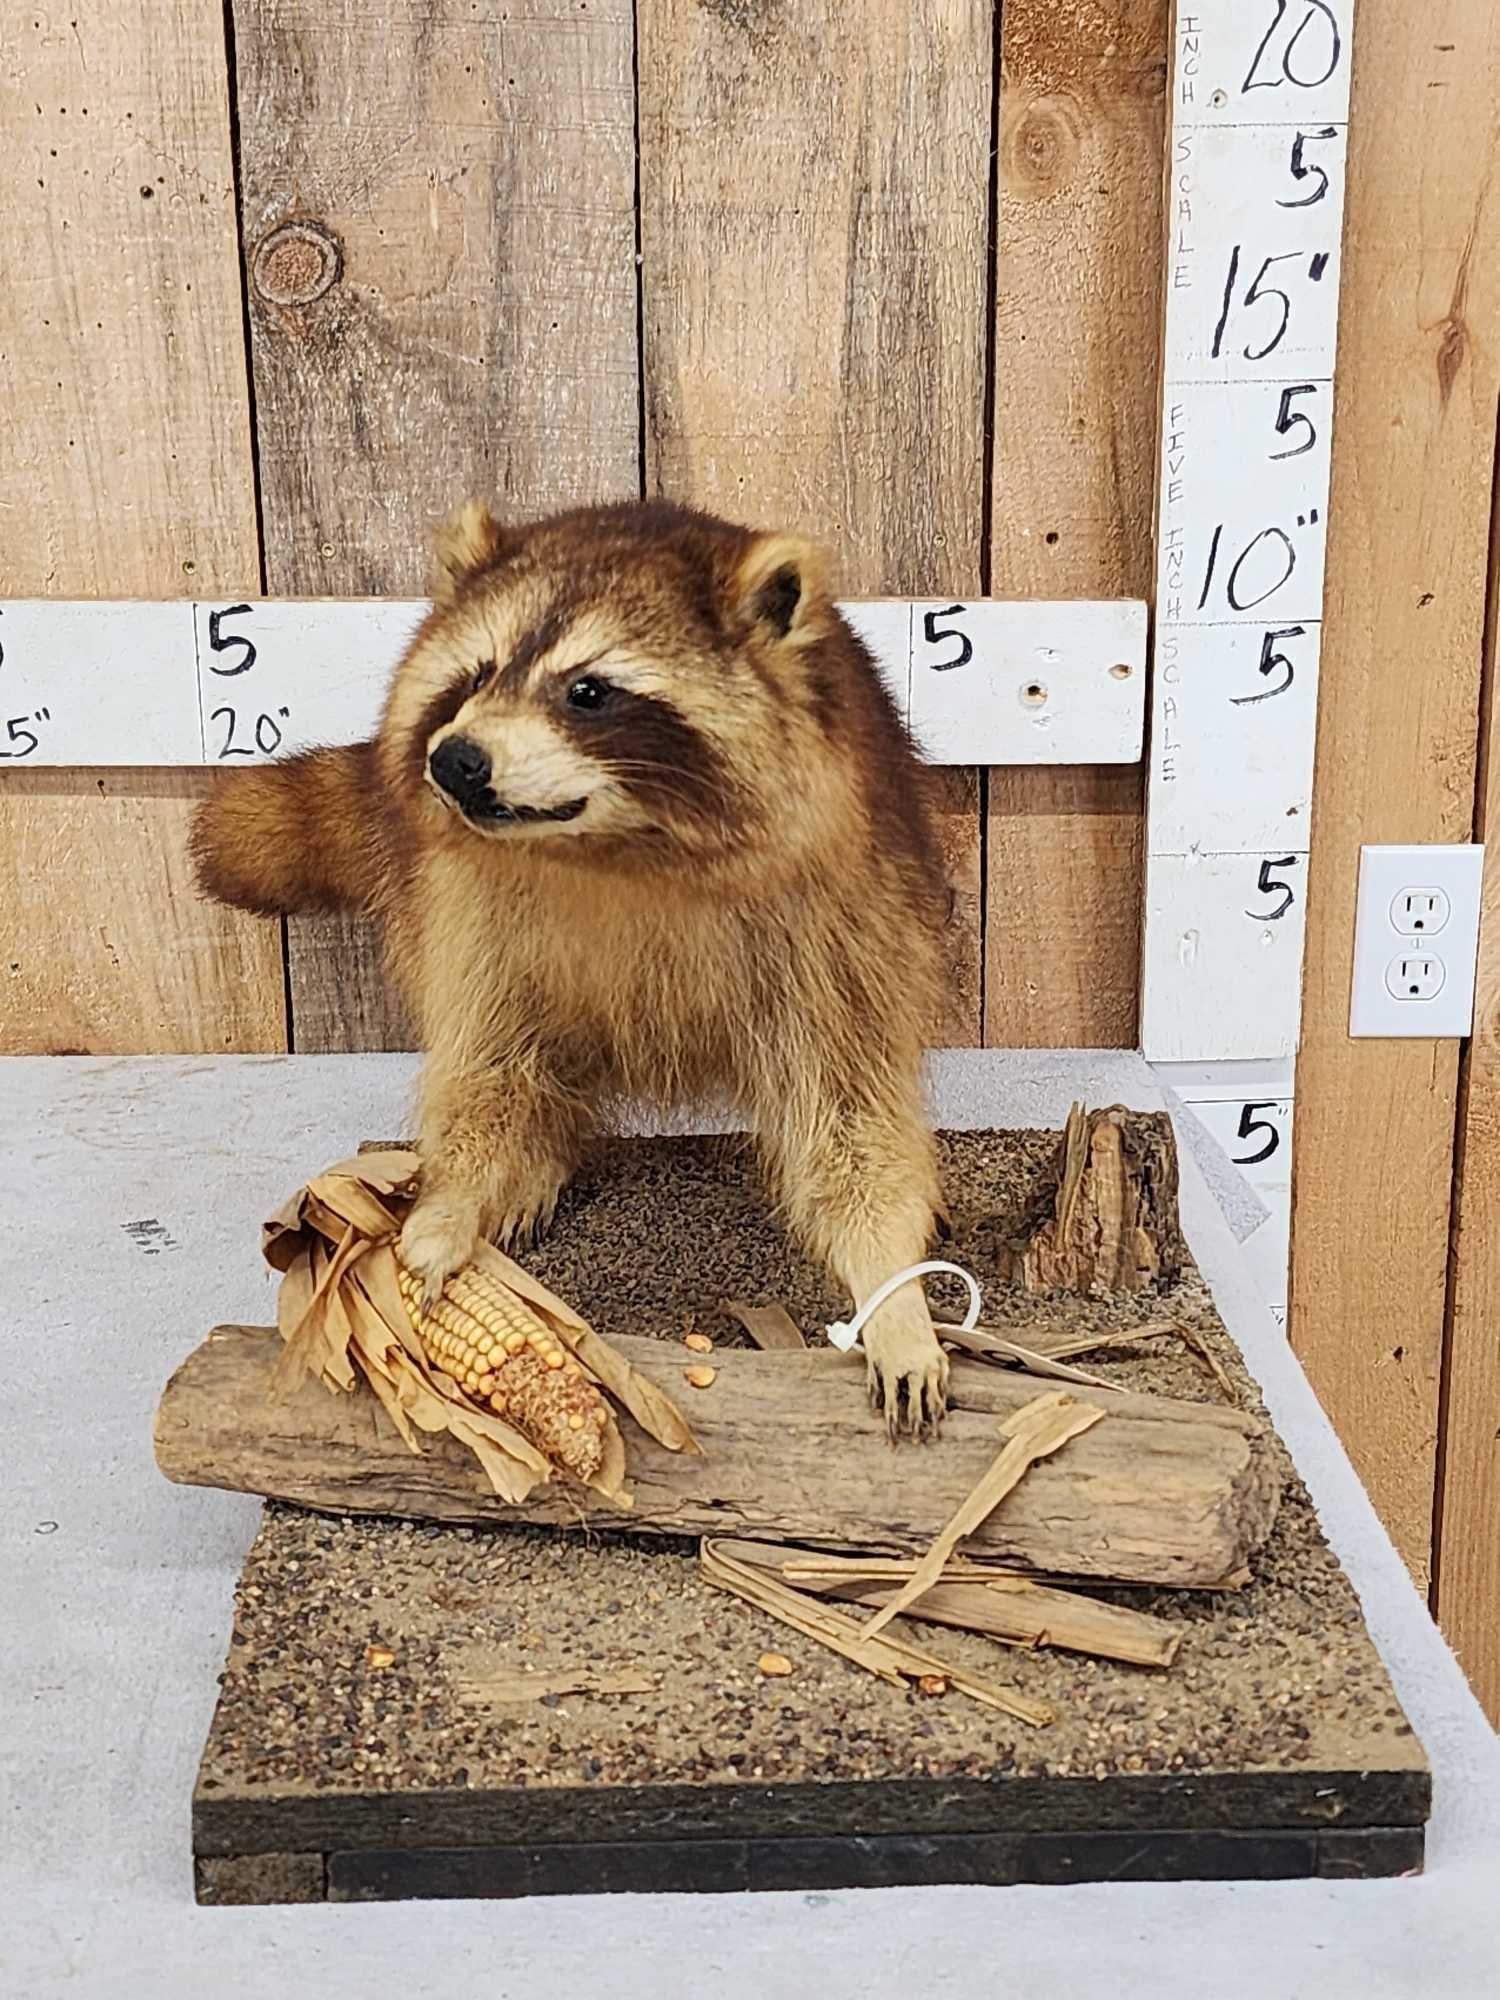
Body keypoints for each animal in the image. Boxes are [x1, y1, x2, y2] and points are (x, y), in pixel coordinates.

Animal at [192, 498, 952, 1435]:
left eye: (588, 691)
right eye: (476, 673)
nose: (455, 759)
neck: (616, 847)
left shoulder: (843, 913)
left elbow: (854, 1120)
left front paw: (894, 1292)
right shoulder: (473, 910)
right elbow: (483, 1068)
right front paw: (452, 1201)